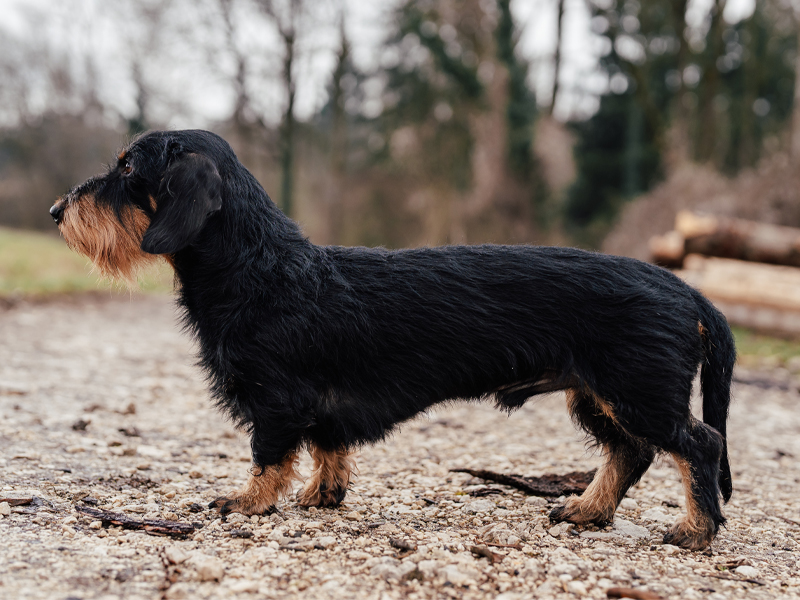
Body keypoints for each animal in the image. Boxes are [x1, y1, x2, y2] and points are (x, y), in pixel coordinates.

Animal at [50, 129, 736, 552]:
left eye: (128, 169)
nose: (57, 212)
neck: (261, 268)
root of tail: (688, 291)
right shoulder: (317, 408)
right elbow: (329, 449)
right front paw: (322, 496)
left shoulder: (275, 401)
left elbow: (268, 457)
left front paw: (247, 502)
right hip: (597, 395)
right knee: (630, 453)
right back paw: (587, 511)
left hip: (637, 392)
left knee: (699, 444)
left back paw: (695, 532)